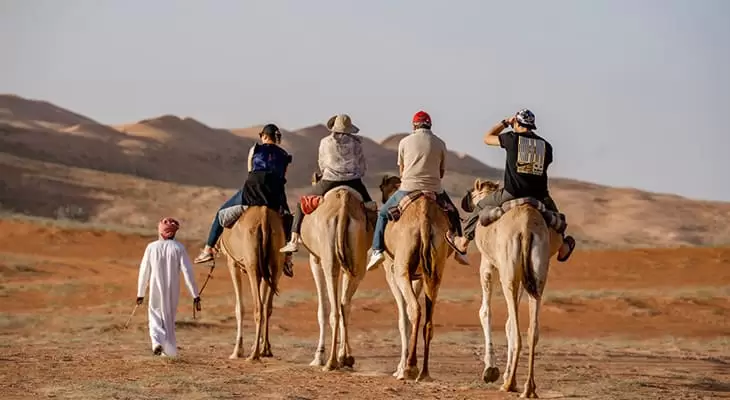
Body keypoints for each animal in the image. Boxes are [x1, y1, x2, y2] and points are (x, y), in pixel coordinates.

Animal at [216, 205, 284, 360]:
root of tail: (264, 215)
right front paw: (259, 345)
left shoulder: (232, 263)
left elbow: (239, 308)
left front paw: (237, 351)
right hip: (276, 264)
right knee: (267, 306)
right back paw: (265, 350)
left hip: (252, 265)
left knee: (258, 306)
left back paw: (254, 355)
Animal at [292, 178, 370, 372]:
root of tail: (344, 205)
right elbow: (343, 305)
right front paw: (346, 356)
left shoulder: (315, 259)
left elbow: (323, 309)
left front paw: (318, 356)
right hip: (357, 264)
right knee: (344, 305)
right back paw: (344, 358)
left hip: (329, 261)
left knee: (334, 310)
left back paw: (330, 362)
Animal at [378, 175, 452, 382]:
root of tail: (425, 222)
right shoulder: (418, 276)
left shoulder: (392, 273)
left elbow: (403, 319)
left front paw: (399, 369)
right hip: (435, 269)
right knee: (428, 319)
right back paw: (424, 372)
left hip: (401, 270)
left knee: (414, 309)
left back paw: (410, 368)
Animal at [460, 180, 564, 398]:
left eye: (472, 192)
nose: (466, 203)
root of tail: (526, 227)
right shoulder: (522, 275)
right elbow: (508, 320)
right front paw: (504, 373)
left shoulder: (488, 264)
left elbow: (485, 312)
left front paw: (491, 370)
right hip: (537, 273)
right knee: (532, 329)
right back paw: (528, 387)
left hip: (508, 270)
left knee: (516, 330)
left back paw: (510, 384)